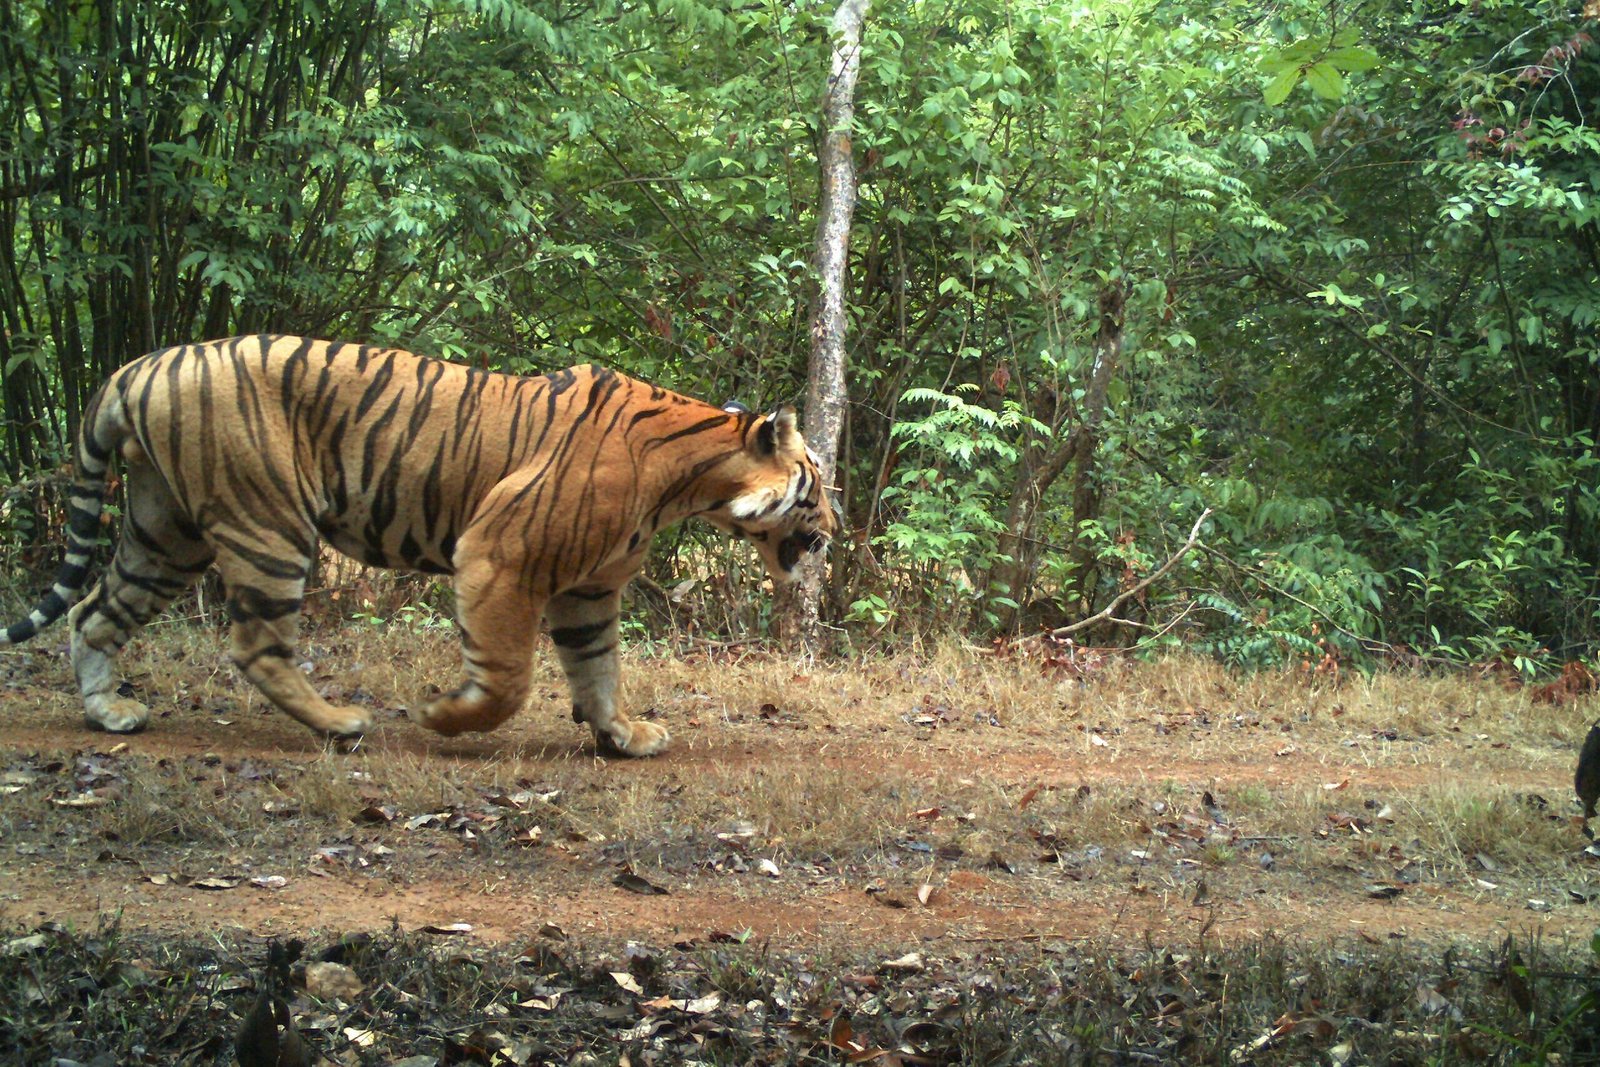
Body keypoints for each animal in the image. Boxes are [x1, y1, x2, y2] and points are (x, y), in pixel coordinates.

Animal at [0, 335, 836, 757]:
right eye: (816, 482)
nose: (835, 531)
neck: (693, 477)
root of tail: (134, 368)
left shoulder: (590, 588)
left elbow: (598, 669)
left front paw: (623, 734)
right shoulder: (500, 554)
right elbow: (508, 679)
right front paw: (443, 717)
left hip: (163, 532)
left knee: (94, 613)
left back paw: (109, 712)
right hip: (268, 523)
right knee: (255, 644)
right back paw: (339, 723)